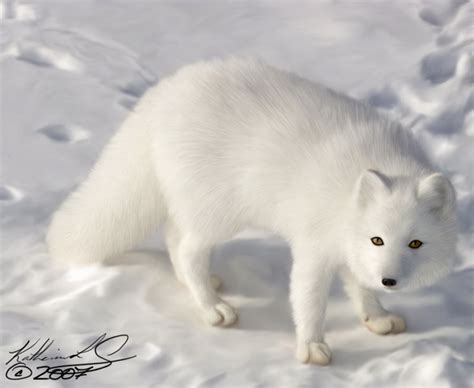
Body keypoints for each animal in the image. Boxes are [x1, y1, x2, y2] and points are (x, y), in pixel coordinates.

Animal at [46, 57, 458, 364]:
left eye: (415, 243)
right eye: (378, 239)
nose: (389, 280)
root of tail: (164, 92)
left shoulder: (346, 248)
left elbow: (360, 288)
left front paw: (377, 317)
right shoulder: (314, 248)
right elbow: (309, 302)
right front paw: (311, 347)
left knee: (174, 238)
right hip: (219, 213)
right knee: (186, 248)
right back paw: (213, 308)